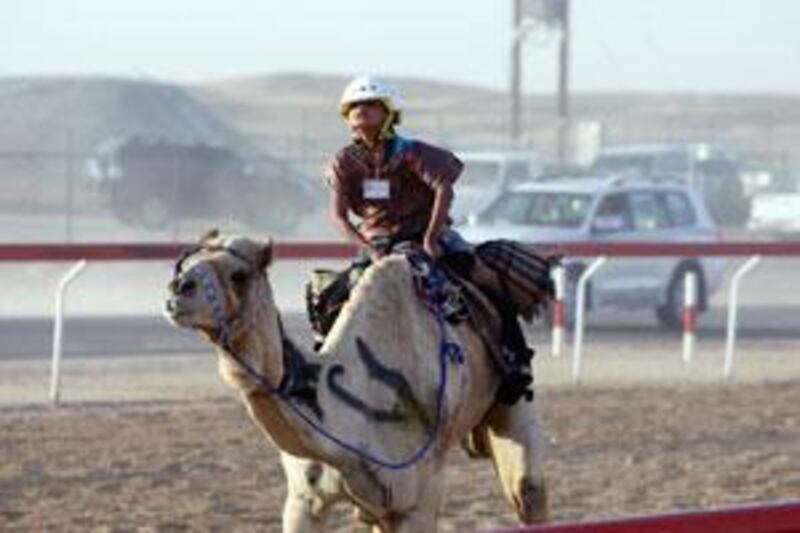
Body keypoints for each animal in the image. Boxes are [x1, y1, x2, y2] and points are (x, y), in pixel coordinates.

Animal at [164, 232, 552, 532]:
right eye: (185, 264)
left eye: (239, 275)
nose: (177, 289)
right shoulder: (304, 498)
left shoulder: (417, 500)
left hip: (513, 401)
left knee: (529, 492)